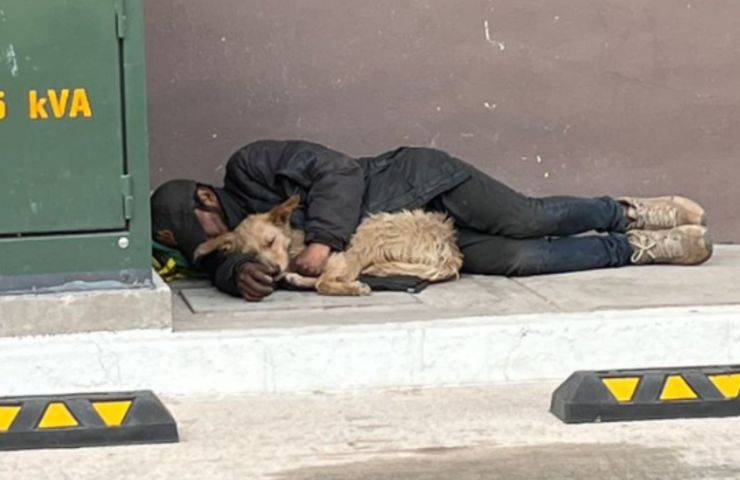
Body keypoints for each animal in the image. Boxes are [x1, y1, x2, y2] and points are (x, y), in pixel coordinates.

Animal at [195, 196, 462, 296]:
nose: (274, 271)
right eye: (251, 254)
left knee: (328, 281)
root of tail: (449, 247)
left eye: (270, 241)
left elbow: (323, 282)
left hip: (369, 229)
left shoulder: (340, 256)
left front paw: (352, 288)